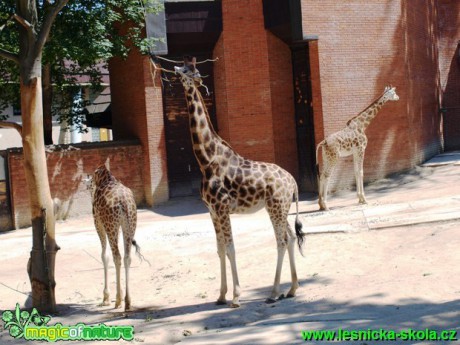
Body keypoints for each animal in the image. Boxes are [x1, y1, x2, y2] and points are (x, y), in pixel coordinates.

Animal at [86, 164, 144, 310]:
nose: (88, 186)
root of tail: (124, 202)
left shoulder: (98, 222)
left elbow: (104, 256)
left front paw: (106, 297)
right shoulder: (117, 226)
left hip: (110, 225)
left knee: (116, 256)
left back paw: (118, 300)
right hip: (129, 224)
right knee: (127, 257)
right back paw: (127, 301)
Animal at [172, 55, 306, 306]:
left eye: (189, 70)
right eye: (183, 66)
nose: (175, 69)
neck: (206, 160)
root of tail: (293, 181)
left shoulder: (222, 208)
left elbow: (231, 248)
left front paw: (235, 296)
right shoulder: (212, 211)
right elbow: (220, 249)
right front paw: (221, 295)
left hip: (276, 207)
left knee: (282, 240)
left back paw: (273, 292)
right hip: (281, 208)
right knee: (291, 236)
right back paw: (292, 288)